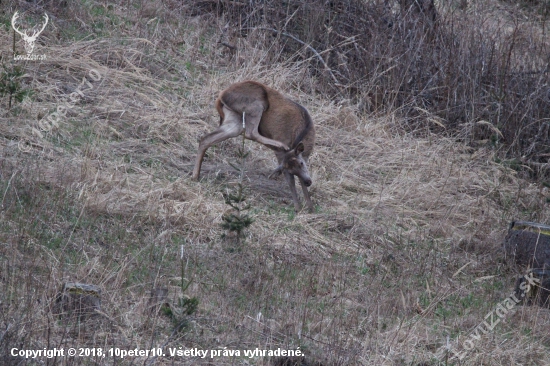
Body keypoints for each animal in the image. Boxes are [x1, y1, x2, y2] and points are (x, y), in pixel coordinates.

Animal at [193, 80, 314, 212]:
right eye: (291, 169)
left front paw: (309, 206)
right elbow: (290, 180)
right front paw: (298, 208)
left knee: (206, 139)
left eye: (301, 163)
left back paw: (195, 175)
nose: (308, 182)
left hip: (234, 121)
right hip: (256, 104)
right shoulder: (282, 155)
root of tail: (220, 97)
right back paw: (280, 144)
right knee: (251, 132)